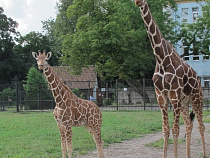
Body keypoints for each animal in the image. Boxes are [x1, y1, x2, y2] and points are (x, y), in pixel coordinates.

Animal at [135, 0, 205, 158]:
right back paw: (188, 155)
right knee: (189, 124)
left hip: (196, 99)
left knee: (201, 125)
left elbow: (175, 130)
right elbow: (165, 129)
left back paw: (204, 154)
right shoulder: (161, 96)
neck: (161, 59)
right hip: (184, 103)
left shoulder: (174, 95)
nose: (138, 2)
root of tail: (199, 81)